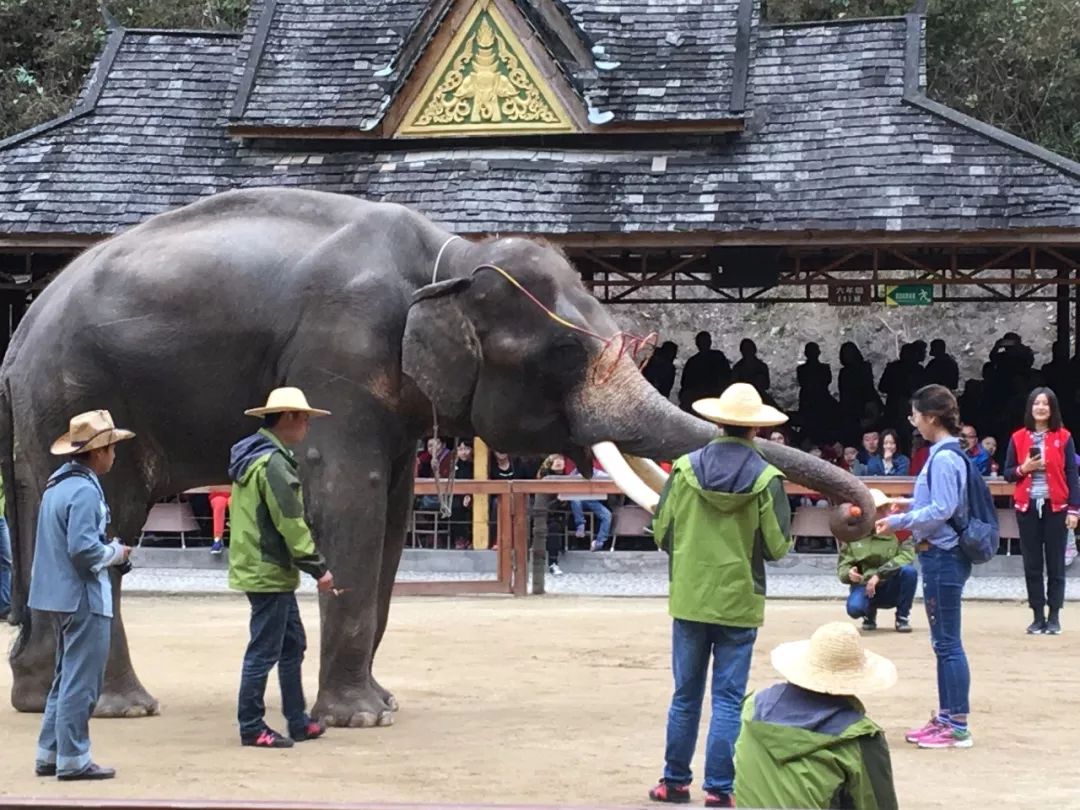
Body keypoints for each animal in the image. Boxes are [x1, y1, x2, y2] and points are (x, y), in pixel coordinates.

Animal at [2, 189, 876, 721]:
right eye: (563, 356)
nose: (860, 517)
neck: (447, 257)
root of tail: (21, 334)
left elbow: (390, 513)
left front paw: (378, 705)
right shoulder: (338, 355)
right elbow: (346, 497)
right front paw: (357, 719)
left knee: (66, 524)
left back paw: (52, 702)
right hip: (80, 392)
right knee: (102, 527)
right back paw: (106, 707)